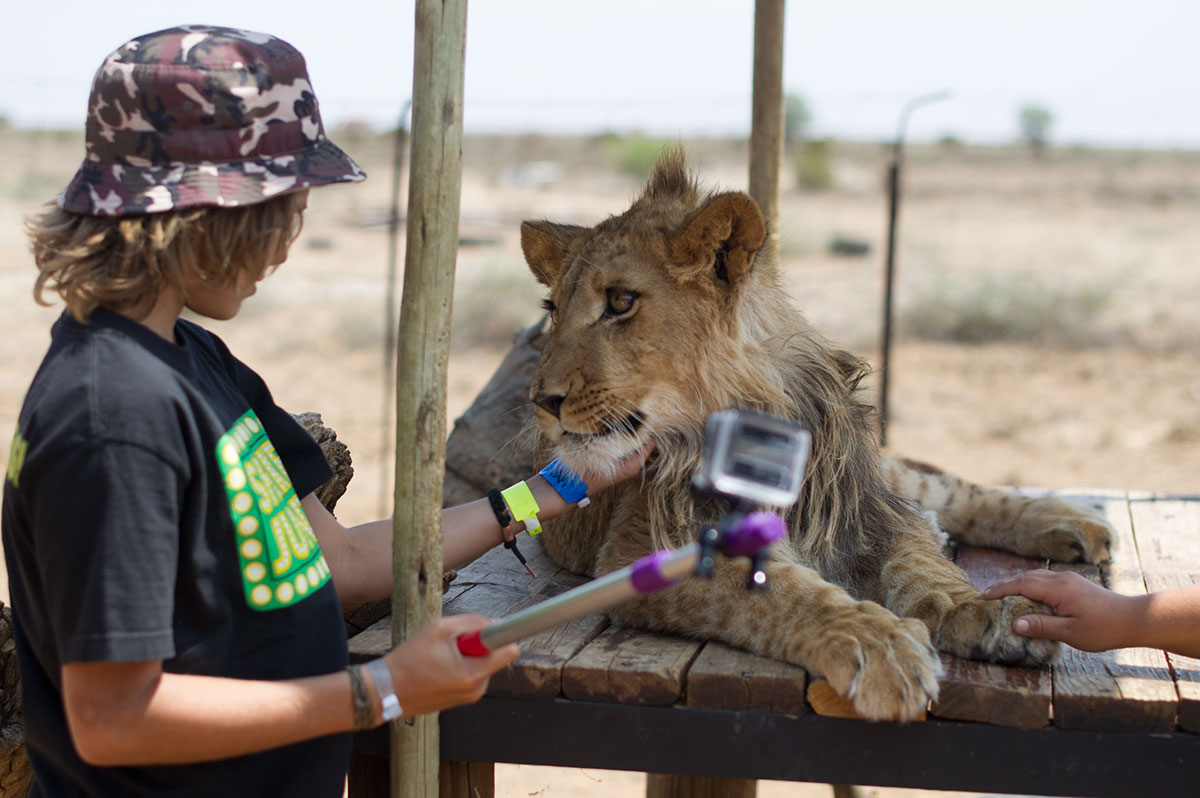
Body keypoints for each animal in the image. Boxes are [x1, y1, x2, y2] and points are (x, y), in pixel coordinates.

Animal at [518, 146, 1113, 720]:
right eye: (552, 309)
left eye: (620, 302)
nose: (541, 400)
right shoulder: (639, 551)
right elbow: (781, 593)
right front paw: (875, 644)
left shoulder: (869, 510)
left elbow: (922, 566)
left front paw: (982, 609)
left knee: (942, 489)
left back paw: (1072, 522)